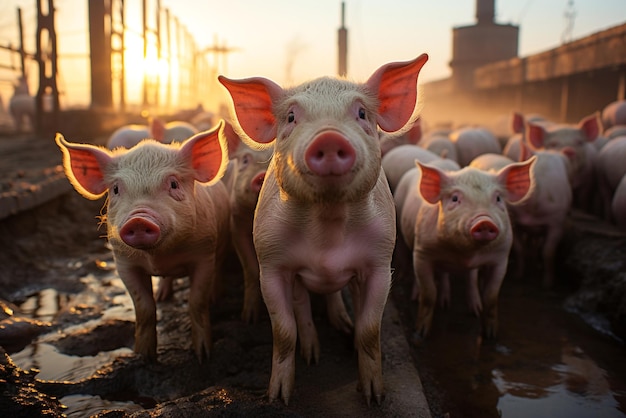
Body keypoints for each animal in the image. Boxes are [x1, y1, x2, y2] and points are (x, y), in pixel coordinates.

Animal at [54, 121, 230, 362]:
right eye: (116, 189)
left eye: (173, 184)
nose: (138, 218)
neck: (158, 257)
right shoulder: (124, 264)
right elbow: (144, 308)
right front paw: (143, 356)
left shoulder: (204, 253)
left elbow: (196, 302)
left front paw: (203, 355)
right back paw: (163, 296)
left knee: (219, 267)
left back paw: (215, 297)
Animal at [218, 53, 428, 404]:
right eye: (291, 117)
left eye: (361, 113)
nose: (329, 138)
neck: (327, 233)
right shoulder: (271, 263)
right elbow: (284, 331)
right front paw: (278, 397)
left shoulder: (380, 262)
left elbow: (370, 330)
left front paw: (374, 397)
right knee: (303, 304)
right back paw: (312, 353)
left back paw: (342, 326)